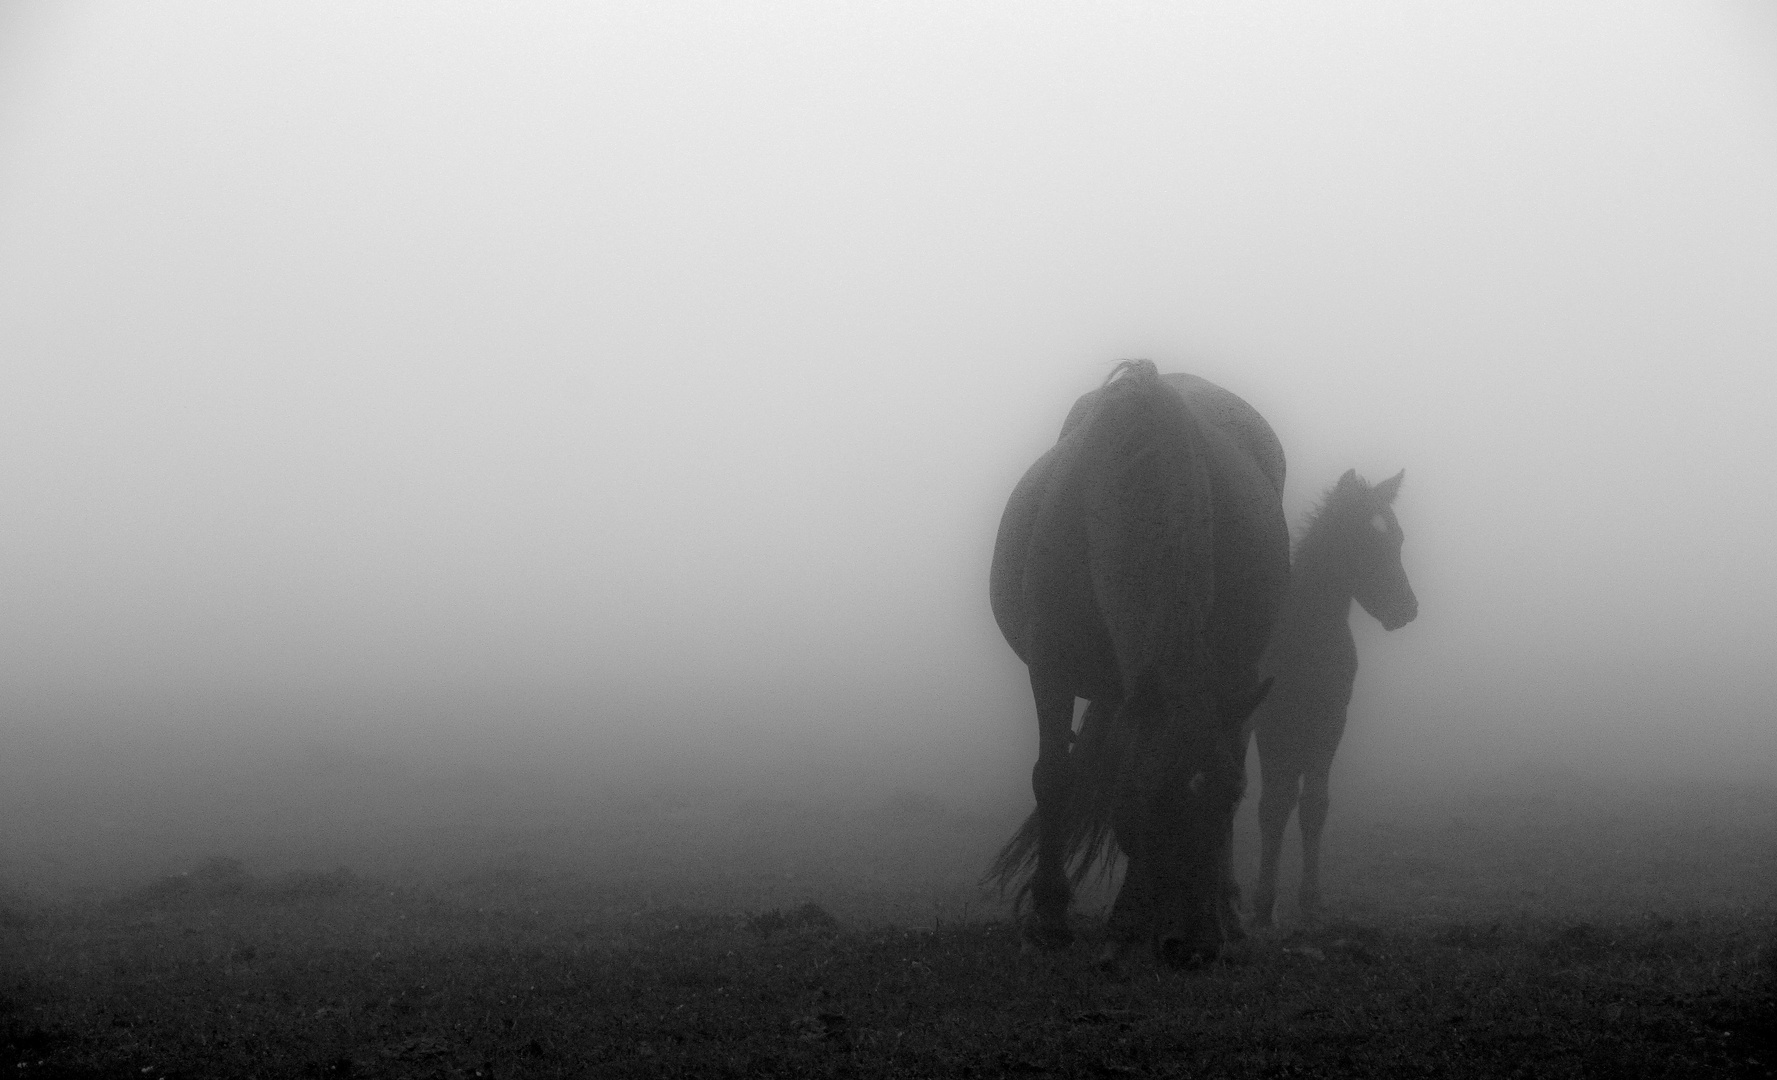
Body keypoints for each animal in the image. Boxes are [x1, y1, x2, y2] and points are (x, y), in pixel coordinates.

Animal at [988, 362, 1293, 973]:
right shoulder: (1051, 669)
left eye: (1228, 803)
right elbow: (1056, 777)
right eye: (1151, 800)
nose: (1193, 947)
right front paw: (1050, 920)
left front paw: (1129, 923)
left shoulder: (1218, 684)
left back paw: (1227, 911)